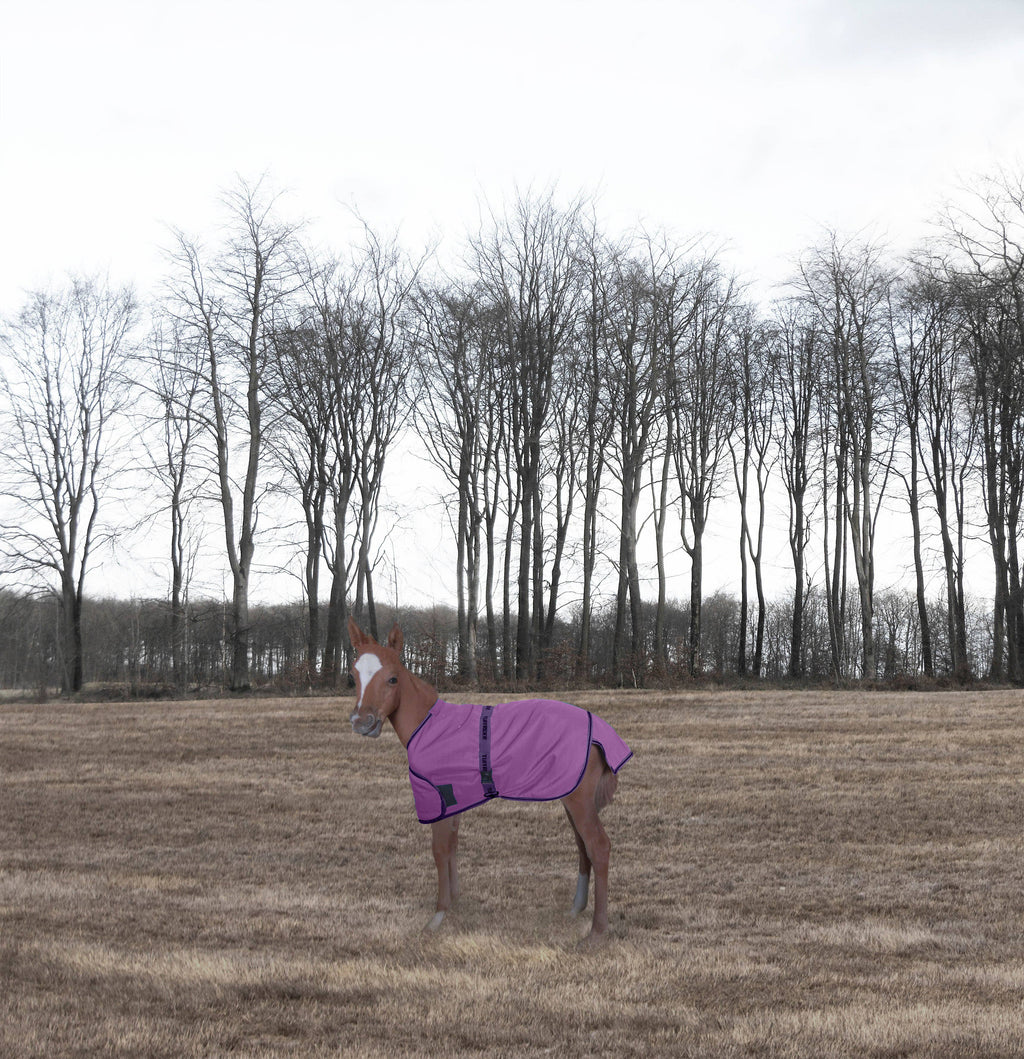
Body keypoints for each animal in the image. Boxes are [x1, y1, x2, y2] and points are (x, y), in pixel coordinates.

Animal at [346, 618, 632, 937]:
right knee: (583, 846)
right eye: (353, 675)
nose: (362, 723)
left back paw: (597, 930)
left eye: (393, 679)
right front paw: (455, 902)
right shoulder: (455, 799)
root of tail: (599, 729)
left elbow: (439, 850)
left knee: (598, 847)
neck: (428, 725)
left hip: (579, 801)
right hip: (571, 798)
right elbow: (453, 846)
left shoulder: (438, 798)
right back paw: (576, 909)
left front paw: (438, 915)